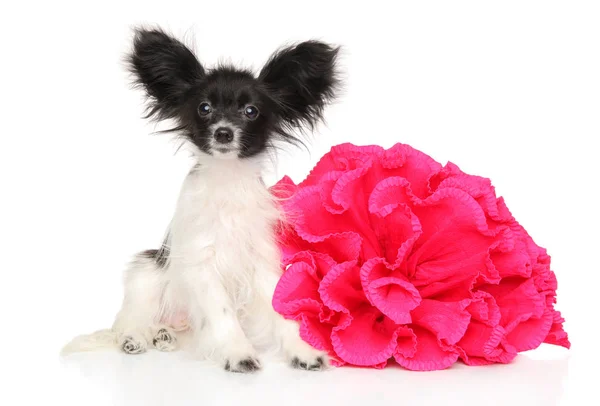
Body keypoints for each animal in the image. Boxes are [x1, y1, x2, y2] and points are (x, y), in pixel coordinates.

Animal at [63, 27, 342, 372]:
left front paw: (301, 350)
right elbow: (222, 313)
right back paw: (136, 338)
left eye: (251, 111)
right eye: (204, 108)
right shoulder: (202, 263)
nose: (223, 132)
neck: (226, 181)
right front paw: (237, 352)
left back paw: (164, 336)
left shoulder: (261, 262)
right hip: (146, 273)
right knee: (128, 320)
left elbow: (279, 311)